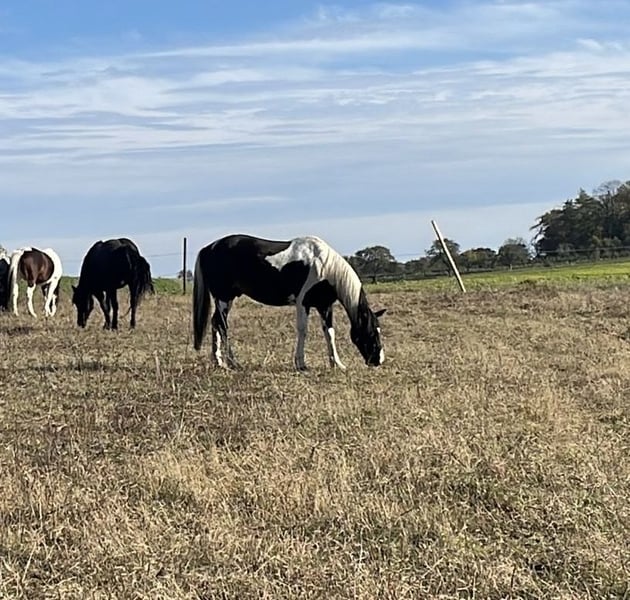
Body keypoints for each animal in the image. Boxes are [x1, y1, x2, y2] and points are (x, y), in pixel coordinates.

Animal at [193, 234, 386, 370]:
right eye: (371, 332)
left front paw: (336, 364)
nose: (379, 360)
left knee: (215, 323)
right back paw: (232, 362)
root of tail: (208, 248)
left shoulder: (324, 306)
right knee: (222, 325)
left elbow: (329, 333)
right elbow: (303, 330)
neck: (324, 267)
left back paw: (218, 362)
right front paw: (301, 364)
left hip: (226, 299)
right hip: (224, 298)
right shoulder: (303, 303)